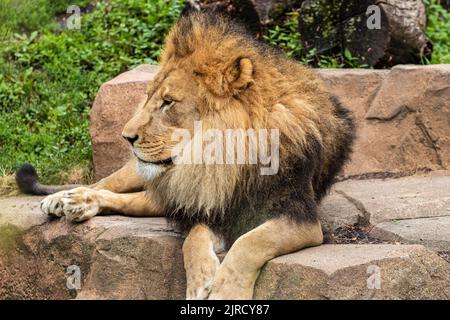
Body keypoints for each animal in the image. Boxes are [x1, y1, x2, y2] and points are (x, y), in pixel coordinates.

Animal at [15, 10, 356, 300]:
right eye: (149, 97)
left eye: (168, 102)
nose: (126, 137)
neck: (226, 161)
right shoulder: (213, 207)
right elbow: (194, 237)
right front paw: (200, 280)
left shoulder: (301, 217)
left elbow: (249, 242)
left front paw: (225, 291)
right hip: (145, 175)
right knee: (106, 183)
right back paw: (65, 199)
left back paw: (80, 203)